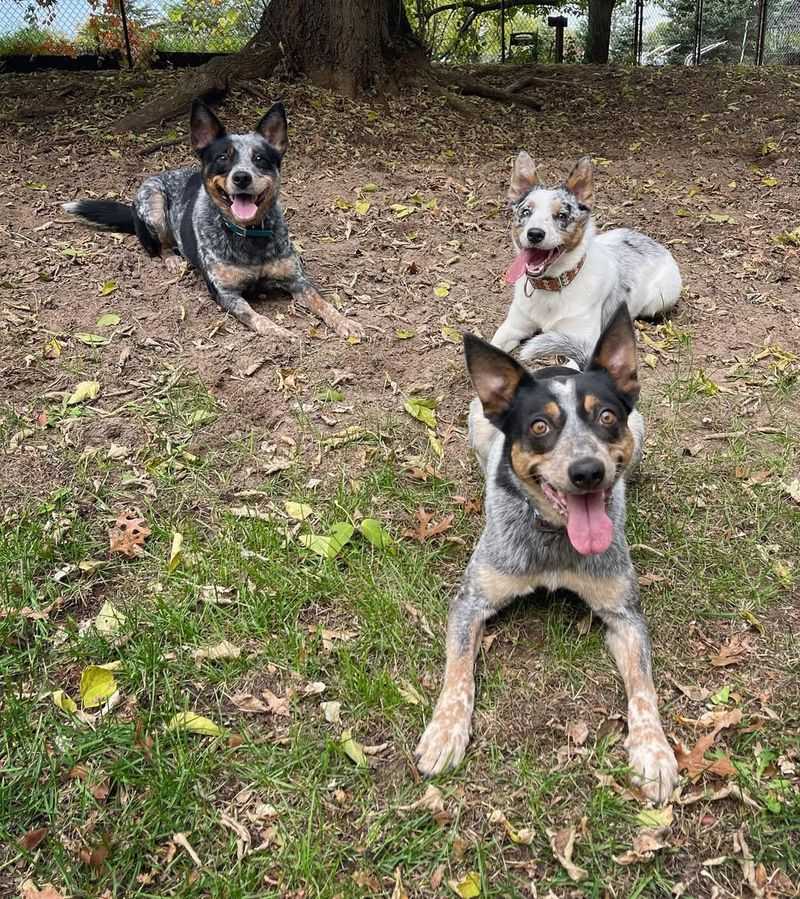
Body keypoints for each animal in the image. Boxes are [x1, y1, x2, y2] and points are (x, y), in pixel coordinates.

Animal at [64, 100, 364, 342]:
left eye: (259, 158)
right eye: (222, 158)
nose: (241, 177)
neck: (249, 236)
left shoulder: (297, 280)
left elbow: (322, 302)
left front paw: (345, 322)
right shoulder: (225, 293)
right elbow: (255, 316)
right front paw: (279, 331)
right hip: (154, 203)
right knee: (158, 246)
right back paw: (171, 258)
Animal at [416, 306, 680, 804]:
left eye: (606, 417)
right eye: (540, 426)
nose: (588, 471)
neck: (555, 541)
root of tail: (566, 365)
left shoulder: (625, 616)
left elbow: (643, 687)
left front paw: (653, 751)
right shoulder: (471, 602)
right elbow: (458, 675)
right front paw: (444, 733)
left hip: (642, 430)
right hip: (477, 421)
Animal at [494, 152, 680, 358]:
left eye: (562, 215)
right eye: (526, 211)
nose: (534, 234)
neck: (552, 288)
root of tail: (655, 243)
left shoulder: (583, 343)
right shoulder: (513, 327)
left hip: (659, 298)